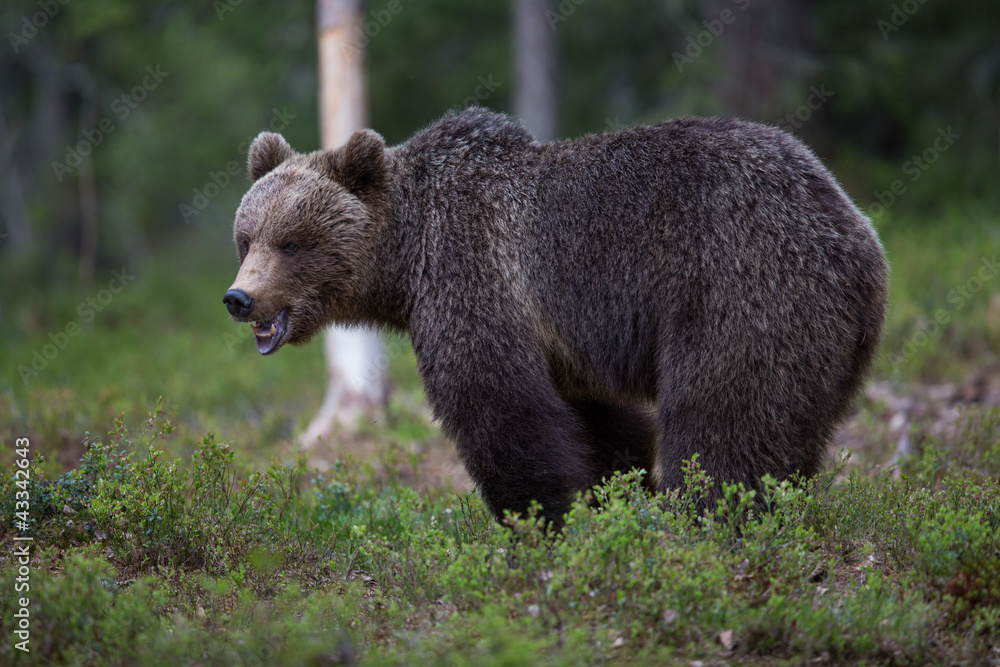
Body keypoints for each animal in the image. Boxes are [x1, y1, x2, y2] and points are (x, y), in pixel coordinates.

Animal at [224, 107, 888, 527]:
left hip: (743, 287)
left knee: (723, 421)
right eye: (246, 238)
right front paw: (615, 495)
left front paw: (536, 521)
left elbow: (500, 409)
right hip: (819, 335)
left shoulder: (475, 275)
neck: (405, 260)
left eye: (291, 242)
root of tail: (854, 230)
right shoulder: (569, 347)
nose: (239, 298)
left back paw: (708, 518)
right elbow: (601, 424)